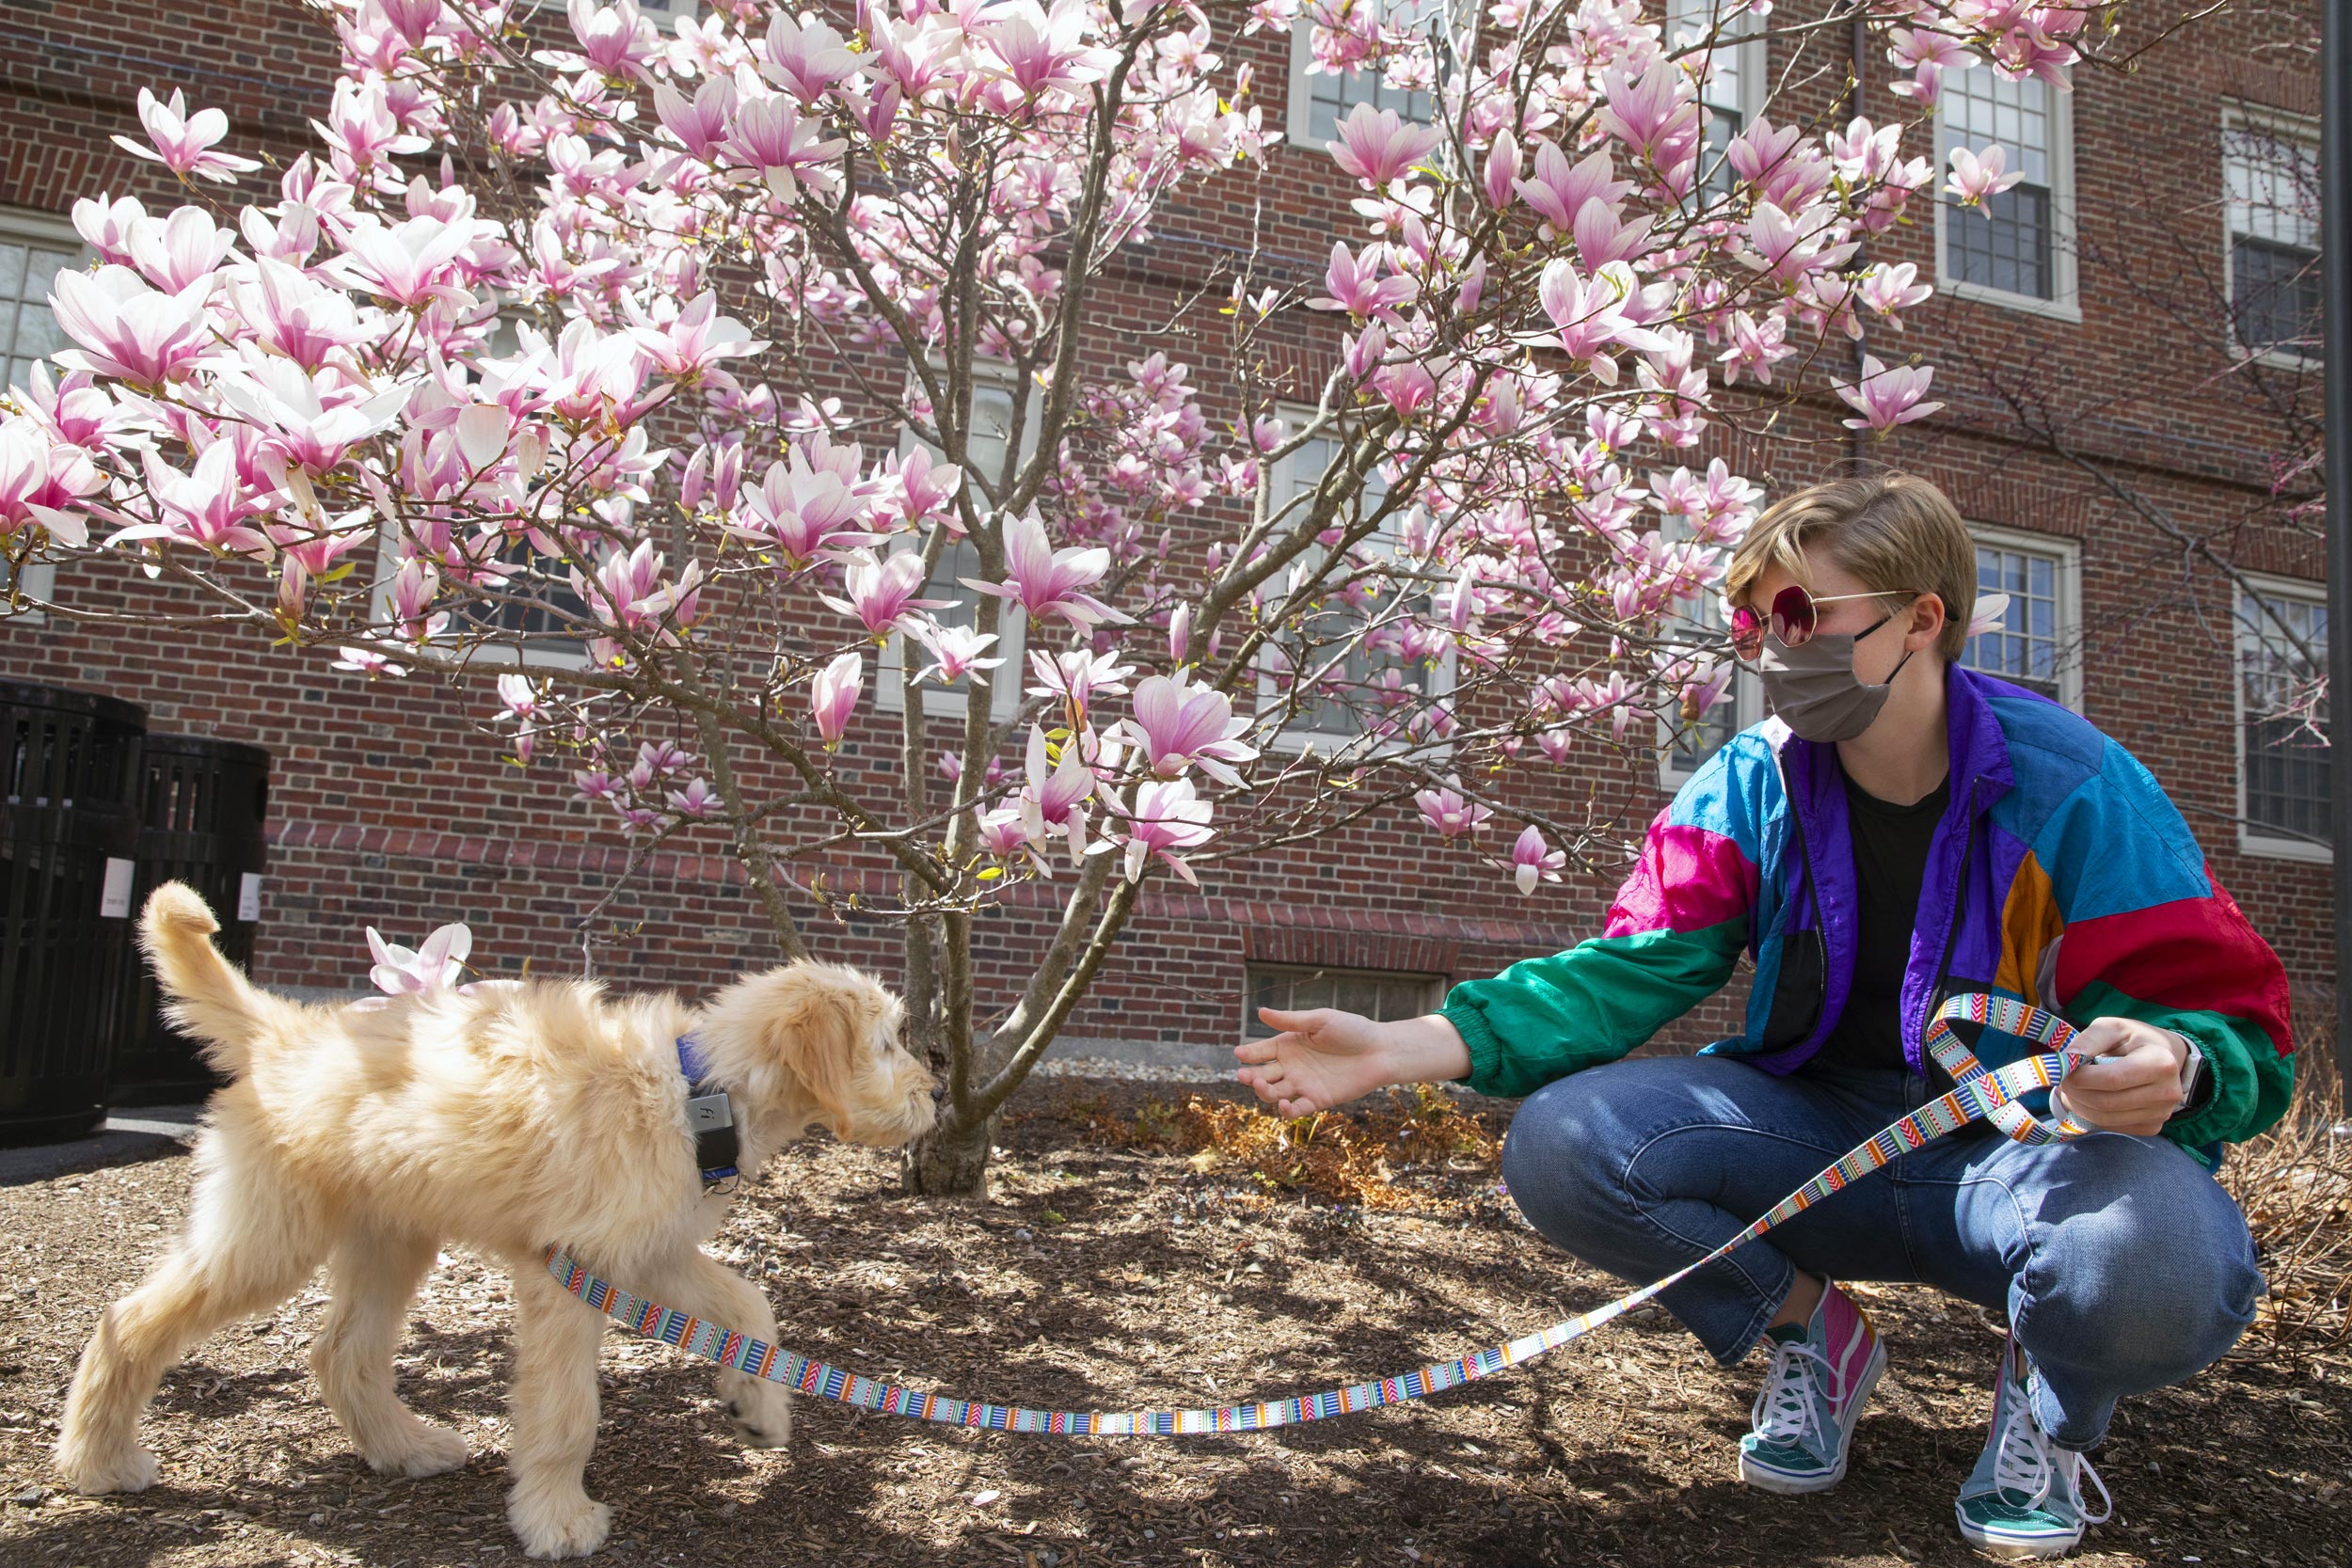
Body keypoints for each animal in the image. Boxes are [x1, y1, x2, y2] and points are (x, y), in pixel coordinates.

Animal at [55, 883, 936, 1560]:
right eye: (887, 1041)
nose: (934, 1094)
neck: (697, 1091)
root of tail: (286, 1033)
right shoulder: (571, 1269)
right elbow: (567, 1408)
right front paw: (558, 1518)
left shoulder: (646, 1253)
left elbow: (750, 1304)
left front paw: (759, 1406)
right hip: (270, 1237)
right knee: (129, 1319)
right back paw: (98, 1458)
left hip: (392, 1237)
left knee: (341, 1351)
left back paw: (407, 1448)